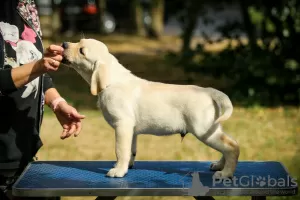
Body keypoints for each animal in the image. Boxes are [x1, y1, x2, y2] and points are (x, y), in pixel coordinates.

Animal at [61, 38, 239, 178]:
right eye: (79, 41)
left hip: (203, 129)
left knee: (232, 147)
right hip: (212, 127)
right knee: (230, 143)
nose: (63, 44)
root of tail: (208, 91)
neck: (112, 80)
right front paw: (126, 166)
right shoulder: (130, 130)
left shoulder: (122, 125)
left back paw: (225, 174)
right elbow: (130, 150)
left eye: (82, 51)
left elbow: (121, 150)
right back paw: (219, 165)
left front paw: (118, 171)